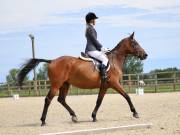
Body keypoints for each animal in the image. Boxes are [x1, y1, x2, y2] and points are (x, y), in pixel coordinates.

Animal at [16, 32, 147, 126]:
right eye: (135, 43)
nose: (145, 55)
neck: (114, 60)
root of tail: (52, 61)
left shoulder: (104, 86)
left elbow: (99, 101)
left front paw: (94, 116)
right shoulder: (114, 83)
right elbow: (127, 96)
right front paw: (135, 113)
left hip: (65, 84)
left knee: (61, 99)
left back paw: (74, 116)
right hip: (56, 84)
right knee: (48, 99)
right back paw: (43, 121)